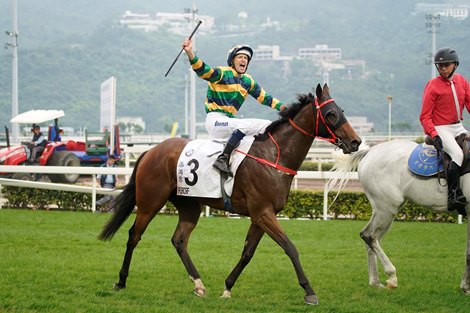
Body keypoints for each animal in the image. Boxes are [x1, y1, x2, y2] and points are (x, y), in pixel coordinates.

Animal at [99, 83, 362, 304]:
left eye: (341, 110)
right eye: (331, 114)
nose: (356, 142)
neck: (273, 156)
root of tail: (150, 151)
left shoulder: (260, 216)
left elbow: (247, 253)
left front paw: (227, 286)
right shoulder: (263, 213)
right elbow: (290, 247)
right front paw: (309, 291)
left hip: (189, 204)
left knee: (179, 240)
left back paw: (199, 284)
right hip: (150, 202)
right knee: (134, 235)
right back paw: (121, 281)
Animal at [328, 139, 468, 292]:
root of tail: (370, 151)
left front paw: (466, 286)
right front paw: (466, 287)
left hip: (385, 209)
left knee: (371, 238)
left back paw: (375, 282)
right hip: (387, 208)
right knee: (369, 236)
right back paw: (391, 276)